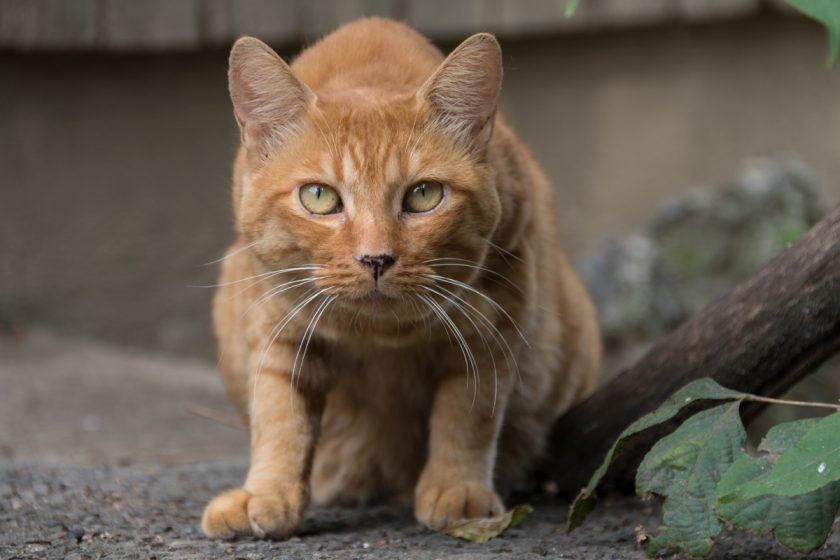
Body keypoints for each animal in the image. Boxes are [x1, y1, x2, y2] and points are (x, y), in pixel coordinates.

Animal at [202, 19, 596, 540]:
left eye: (424, 195)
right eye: (319, 197)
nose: (375, 258)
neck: (379, 334)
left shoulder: (494, 317)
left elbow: (467, 413)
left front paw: (456, 488)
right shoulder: (274, 318)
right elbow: (279, 414)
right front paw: (267, 493)